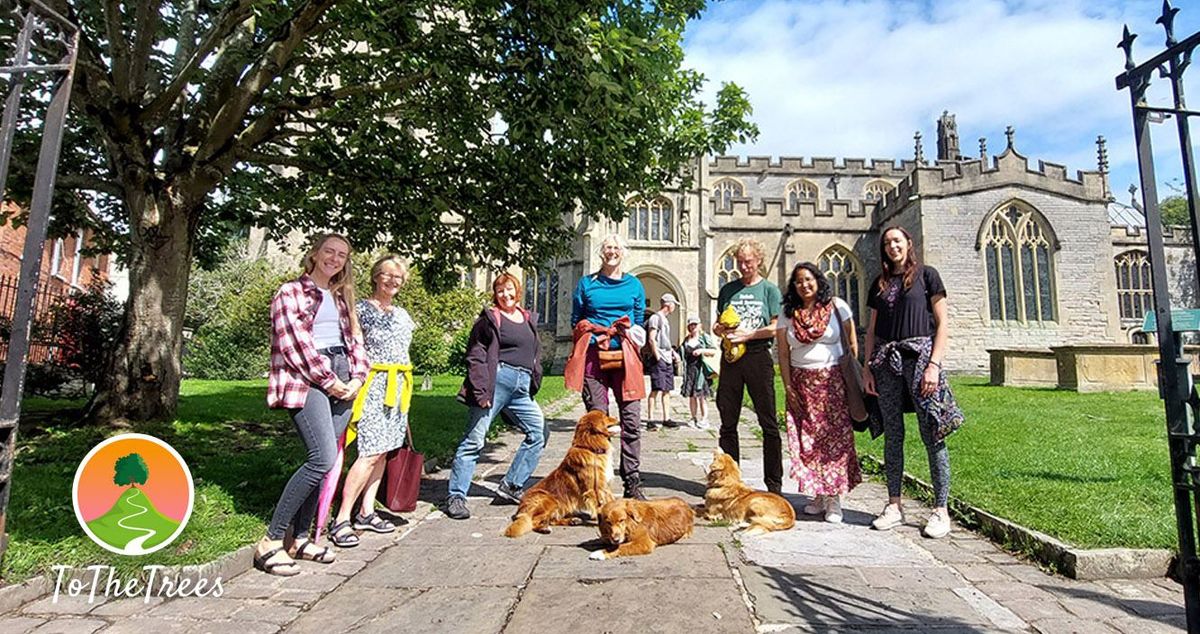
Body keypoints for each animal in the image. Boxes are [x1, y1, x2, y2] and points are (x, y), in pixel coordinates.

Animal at [501, 408, 614, 537]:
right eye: (605, 417)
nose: (617, 419)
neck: (589, 447)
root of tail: (520, 508)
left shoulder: (604, 486)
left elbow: (611, 500)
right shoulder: (593, 488)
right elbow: (598, 505)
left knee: (552, 519)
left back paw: (572, 520)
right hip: (549, 499)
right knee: (536, 521)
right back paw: (544, 528)